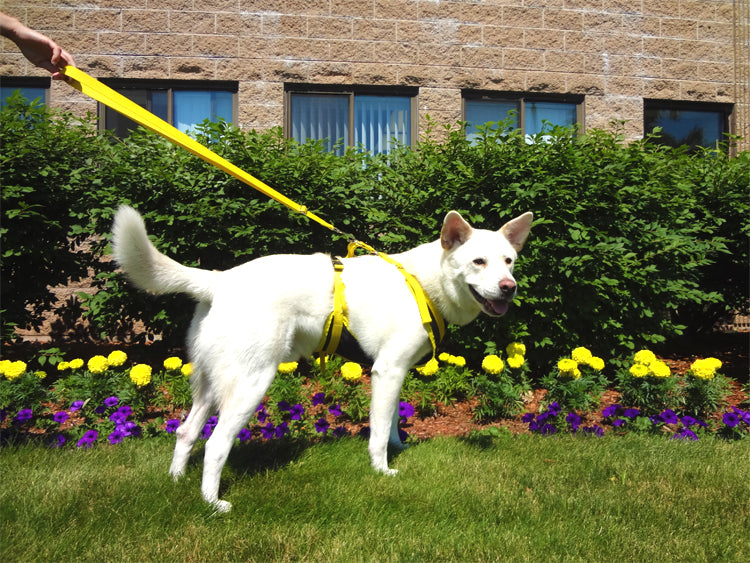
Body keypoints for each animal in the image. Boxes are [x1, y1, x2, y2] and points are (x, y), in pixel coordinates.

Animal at [113, 206, 536, 512]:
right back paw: (213, 504)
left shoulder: (395, 373)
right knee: (216, 444)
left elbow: (391, 421)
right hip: (251, 383)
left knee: (186, 432)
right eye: (479, 262)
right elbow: (378, 432)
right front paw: (382, 470)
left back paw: (177, 482)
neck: (421, 280)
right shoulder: (387, 370)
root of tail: (220, 279)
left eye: (509, 261)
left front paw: (399, 448)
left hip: (210, 384)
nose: (509, 287)